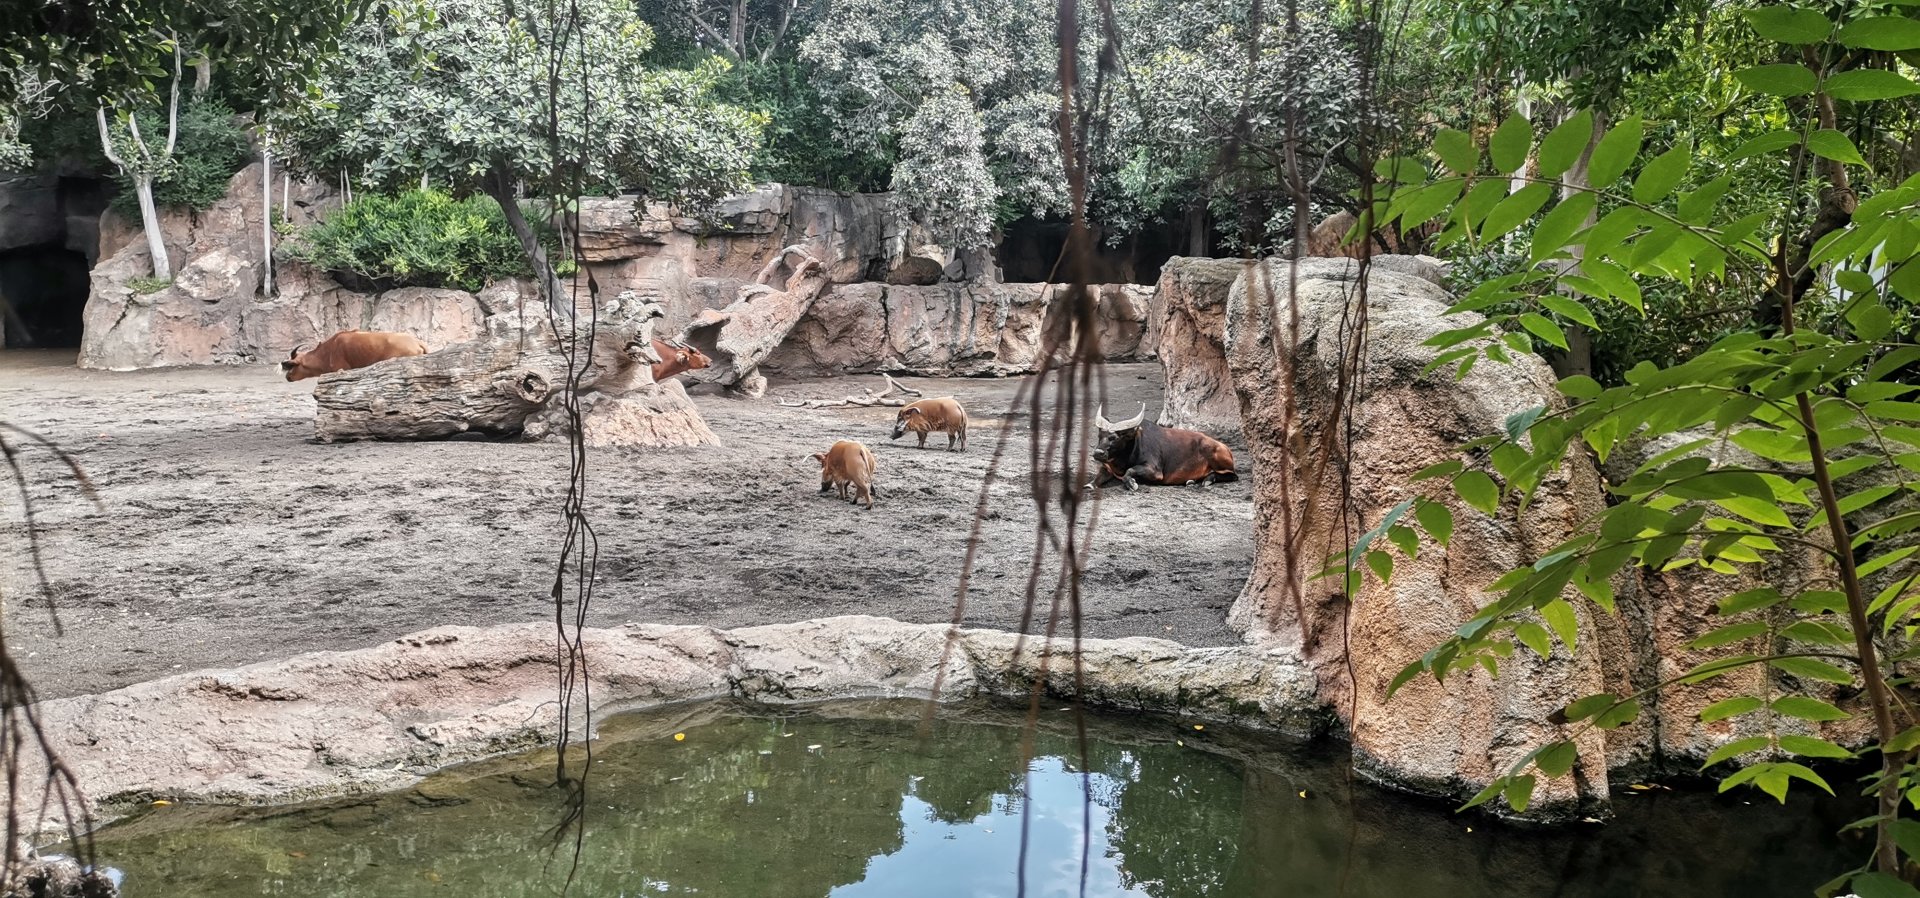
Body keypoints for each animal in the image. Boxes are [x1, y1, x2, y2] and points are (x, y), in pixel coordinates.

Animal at [1090, 403, 1237, 490]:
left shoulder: (1154, 471)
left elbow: (1130, 471)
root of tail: (1225, 448)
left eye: (1114, 437)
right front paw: (1090, 484)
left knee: (1233, 475)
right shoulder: (1107, 468)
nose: (1098, 453)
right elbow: (1098, 477)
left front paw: (1131, 483)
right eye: (1099, 435)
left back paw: (1207, 480)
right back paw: (1192, 481)